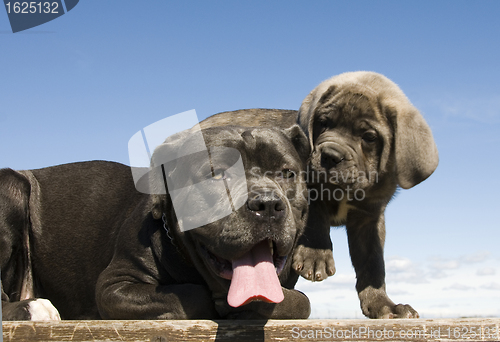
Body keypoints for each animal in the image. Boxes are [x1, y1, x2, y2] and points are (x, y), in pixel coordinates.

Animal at [1, 125, 310, 320]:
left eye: (287, 173)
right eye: (216, 174)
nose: (267, 204)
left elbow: (300, 301)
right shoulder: (114, 286)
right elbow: (193, 296)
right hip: (12, 186)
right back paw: (33, 309)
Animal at [201, 71, 440, 320]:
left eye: (369, 136)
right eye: (324, 123)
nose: (330, 155)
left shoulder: (369, 219)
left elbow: (373, 264)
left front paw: (382, 305)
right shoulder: (309, 190)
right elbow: (315, 222)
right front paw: (315, 258)